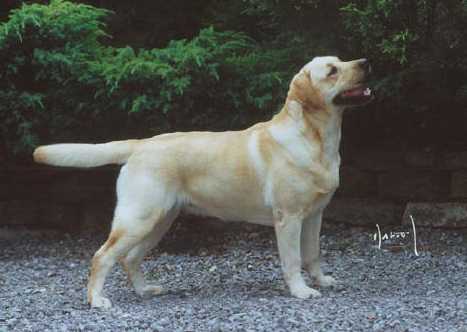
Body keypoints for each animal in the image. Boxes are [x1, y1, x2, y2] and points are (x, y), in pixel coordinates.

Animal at [33, 55, 372, 308]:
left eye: (341, 60)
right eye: (332, 70)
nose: (366, 62)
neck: (317, 138)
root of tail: (140, 144)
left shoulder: (315, 214)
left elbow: (313, 254)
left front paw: (322, 281)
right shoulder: (287, 218)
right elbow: (293, 259)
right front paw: (301, 291)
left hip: (159, 221)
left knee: (130, 259)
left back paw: (145, 290)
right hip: (139, 219)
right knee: (102, 256)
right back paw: (96, 300)